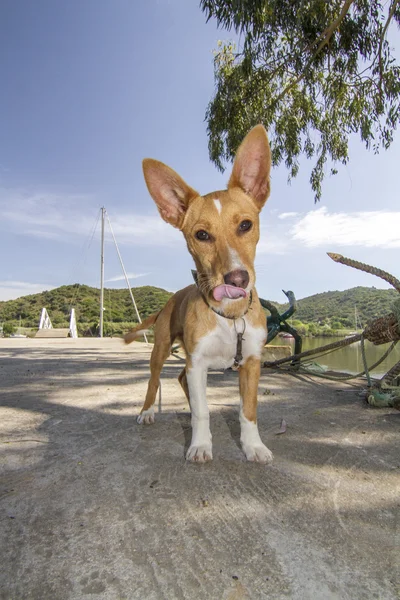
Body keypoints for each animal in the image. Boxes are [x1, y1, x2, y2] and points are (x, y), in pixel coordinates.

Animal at [125, 125, 274, 464]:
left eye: (246, 225)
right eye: (201, 235)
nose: (237, 279)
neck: (230, 318)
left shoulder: (251, 363)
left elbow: (248, 411)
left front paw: (253, 446)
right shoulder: (198, 363)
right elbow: (203, 413)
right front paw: (201, 445)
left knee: (182, 380)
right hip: (161, 350)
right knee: (155, 381)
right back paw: (148, 411)